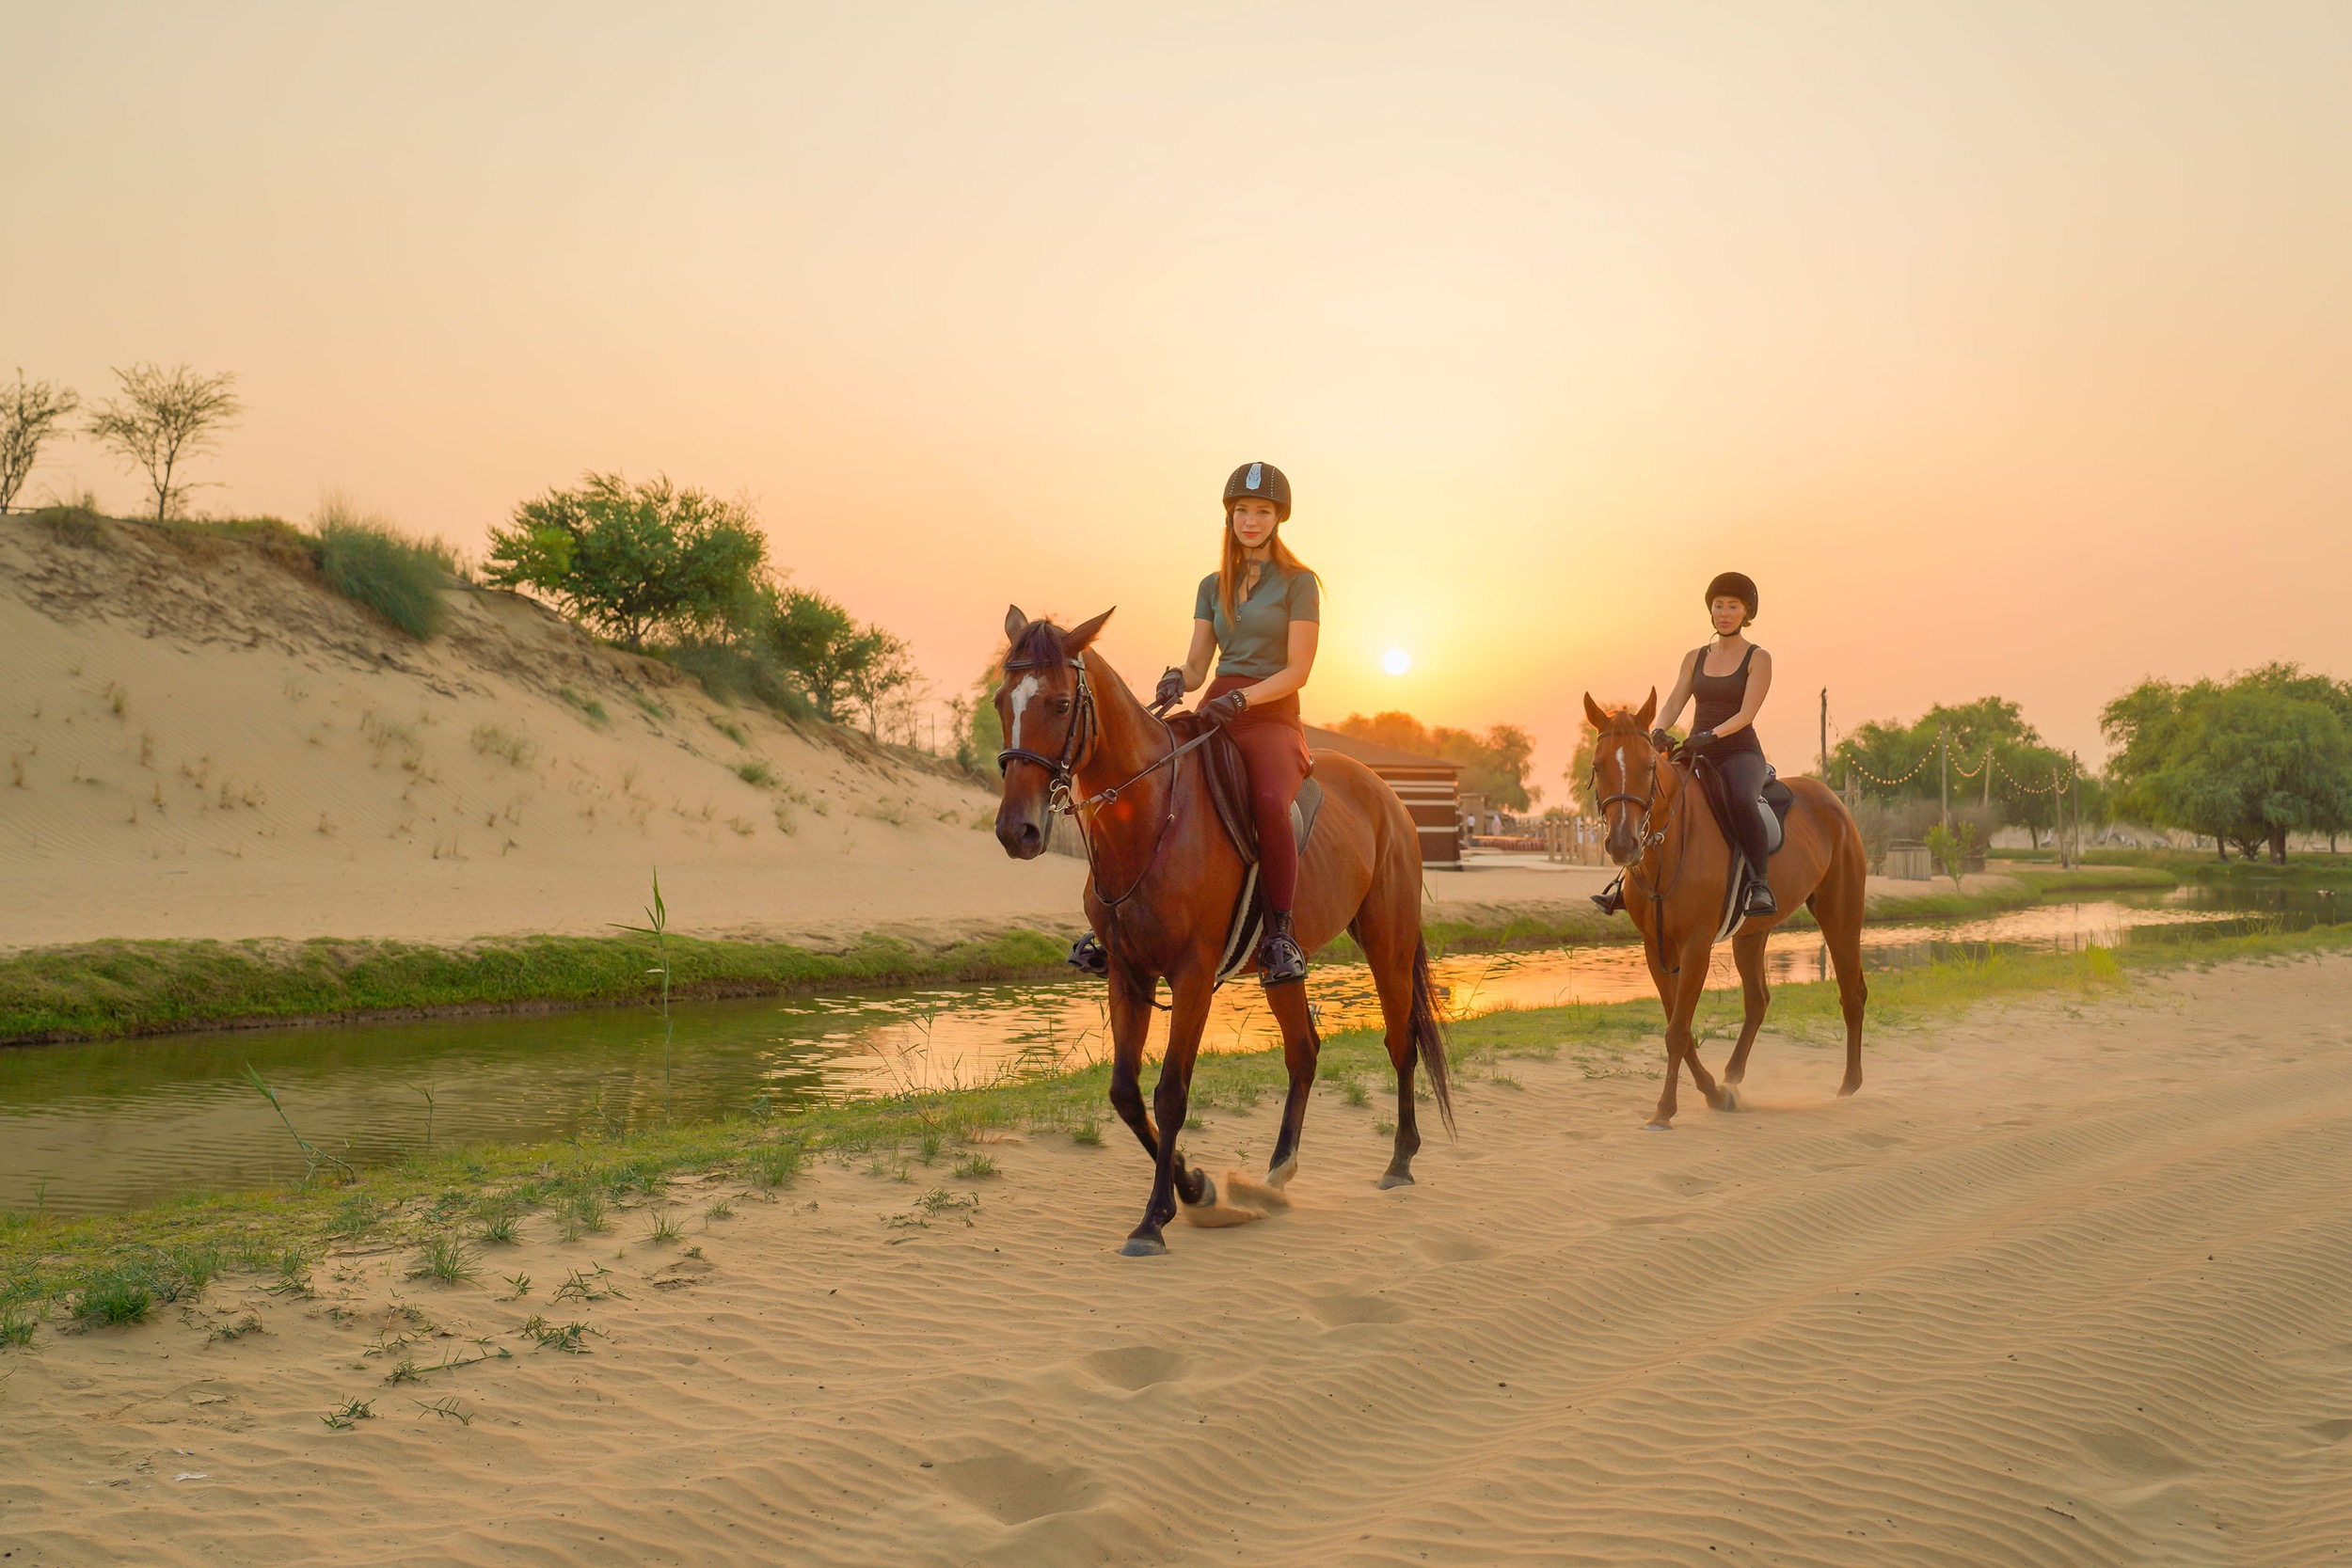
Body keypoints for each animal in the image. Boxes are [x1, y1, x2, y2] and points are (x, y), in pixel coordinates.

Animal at [992, 606, 1453, 1256]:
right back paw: (1276, 1175)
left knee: (1400, 1041)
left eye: (1059, 704)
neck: (1152, 816)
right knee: (1304, 1051)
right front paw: (1195, 1186)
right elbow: (1125, 1092)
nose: (1018, 831)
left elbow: (1170, 1093)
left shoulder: (1191, 974)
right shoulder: (1129, 973)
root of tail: (1387, 792)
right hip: (1281, 967)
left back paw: (1400, 1162)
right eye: (1000, 702)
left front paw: (1155, 1219)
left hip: (1387, 942)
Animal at [1582, 691, 1869, 1129]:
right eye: (1598, 767)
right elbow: (1678, 1028)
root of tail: (1833, 800)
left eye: (1649, 766)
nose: (1622, 844)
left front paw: (1665, 1111)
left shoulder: (1696, 947)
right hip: (1752, 935)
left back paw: (1849, 1086)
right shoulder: (1656, 949)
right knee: (1758, 1001)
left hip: (1841, 918)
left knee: (1852, 994)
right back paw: (1733, 1077)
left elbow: (1678, 1032)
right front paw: (1716, 1094)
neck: (1668, 847)